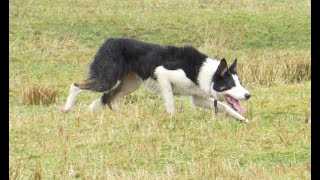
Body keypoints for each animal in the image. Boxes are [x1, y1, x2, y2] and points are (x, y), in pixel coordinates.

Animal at [61, 37, 251, 122]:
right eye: (229, 84)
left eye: (240, 83)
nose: (248, 95)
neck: (203, 71)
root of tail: (108, 41)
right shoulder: (163, 74)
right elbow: (170, 101)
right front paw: (172, 119)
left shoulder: (198, 97)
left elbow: (225, 107)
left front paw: (242, 119)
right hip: (107, 80)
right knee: (76, 86)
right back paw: (67, 108)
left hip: (130, 85)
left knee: (107, 98)